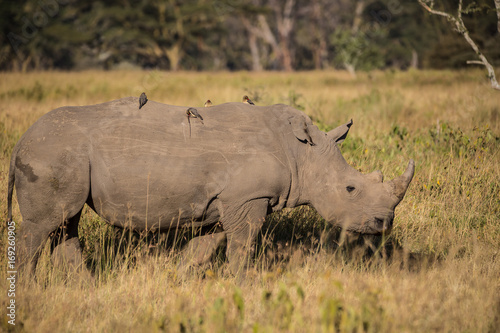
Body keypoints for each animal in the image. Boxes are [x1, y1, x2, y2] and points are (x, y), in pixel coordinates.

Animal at [6, 97, 414, 274]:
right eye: (350, 190)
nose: (384, 224)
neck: (301, 154)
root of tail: (20, 142)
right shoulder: (249, 199)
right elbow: (242, 248)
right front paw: (243, 286)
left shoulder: (226, 203)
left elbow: (202, 249)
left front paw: (178, 279)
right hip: (52, 152)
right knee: (43, 226)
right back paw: (30, 287)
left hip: (61, 154)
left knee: (65, 222)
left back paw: (85, 285)